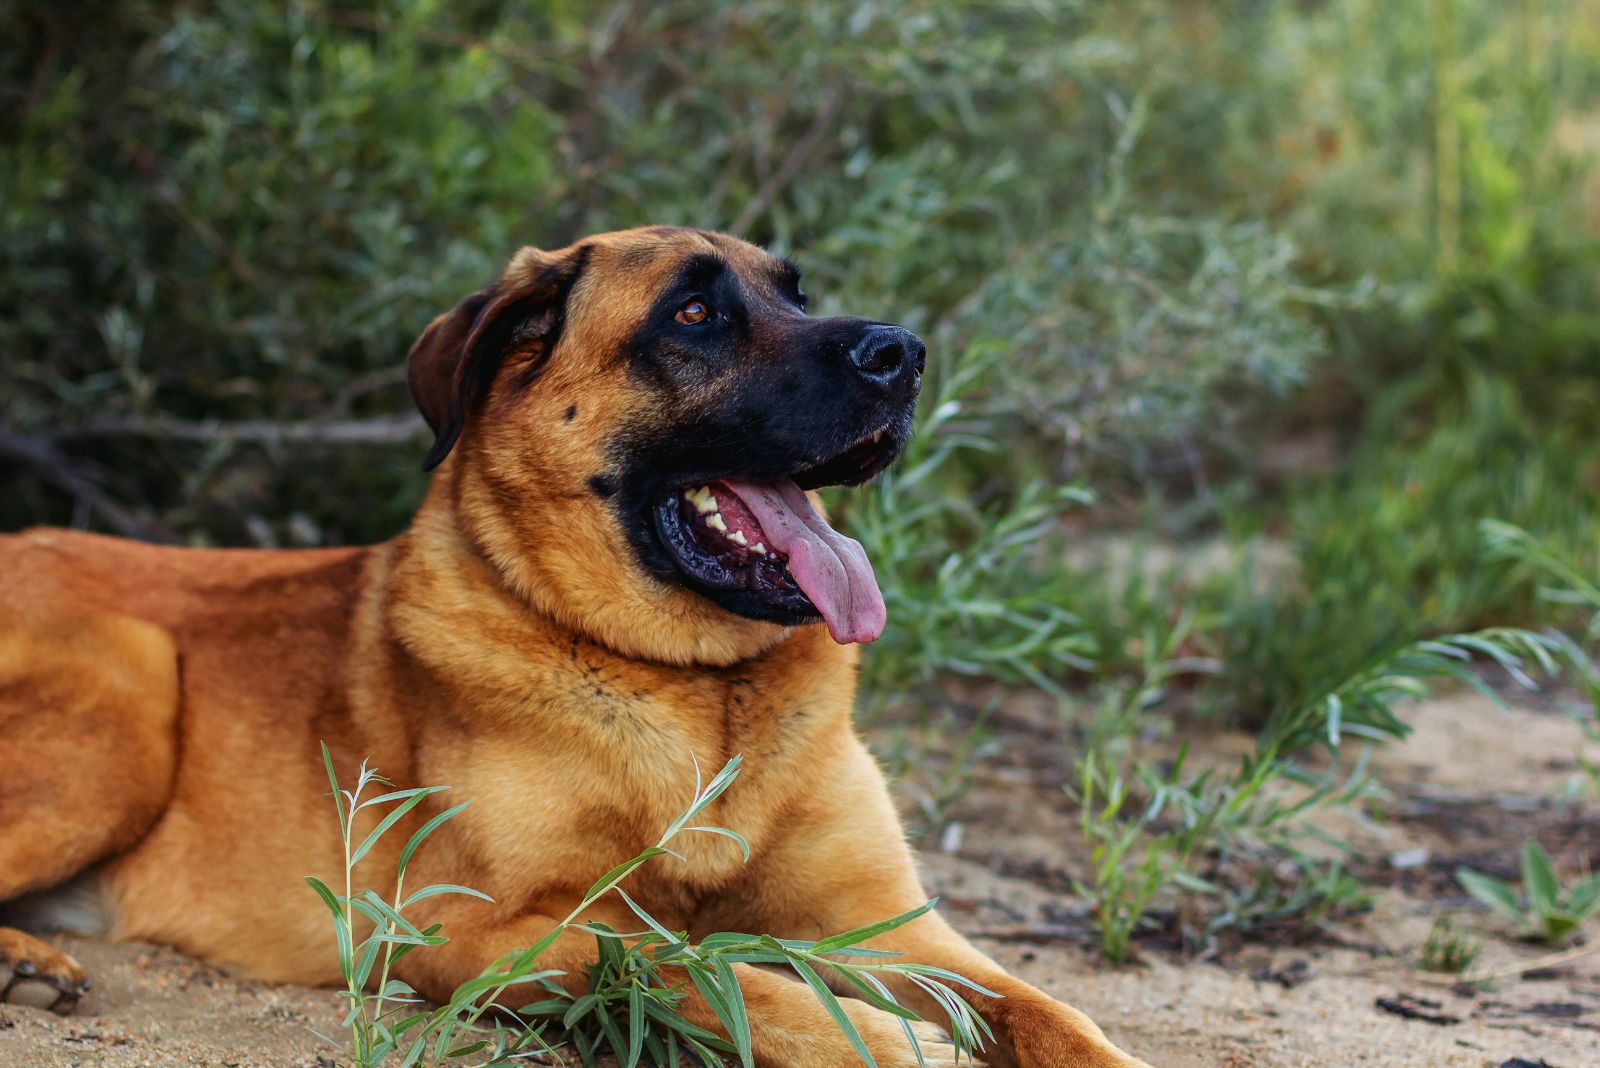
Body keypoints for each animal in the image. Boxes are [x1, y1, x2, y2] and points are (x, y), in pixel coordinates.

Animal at [0, 230, 1152, 1061]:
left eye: (797, 294)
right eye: (694, 313)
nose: (903, 355)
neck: (697, 691)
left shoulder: (892, 922)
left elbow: (1050, 1010)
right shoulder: (473, 932)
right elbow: (716, 974)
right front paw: (894, 1041)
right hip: (129, 687)